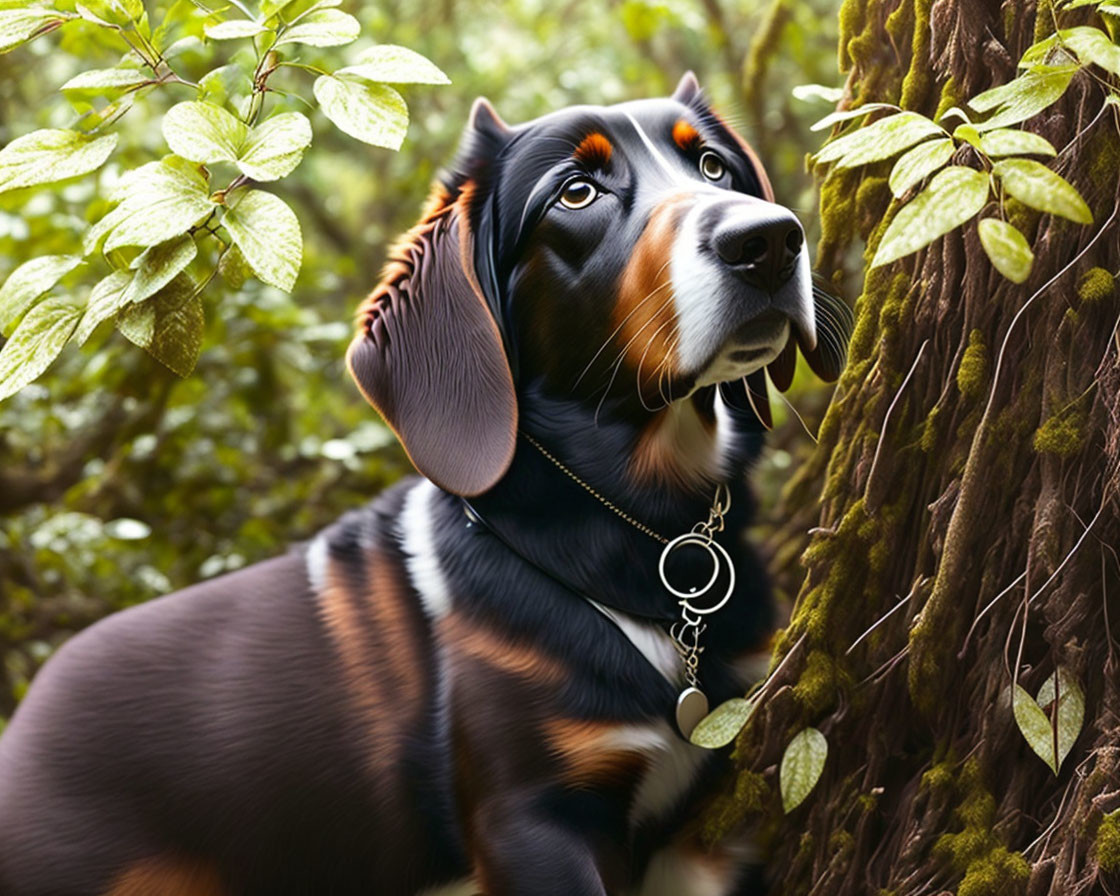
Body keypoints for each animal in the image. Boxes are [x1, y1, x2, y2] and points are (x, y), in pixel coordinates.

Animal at [0, 73, 846, 891]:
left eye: (713, 166)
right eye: (576, 193)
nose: (768, 240)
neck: (635, 530)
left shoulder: (711, 828)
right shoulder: (534, 818)